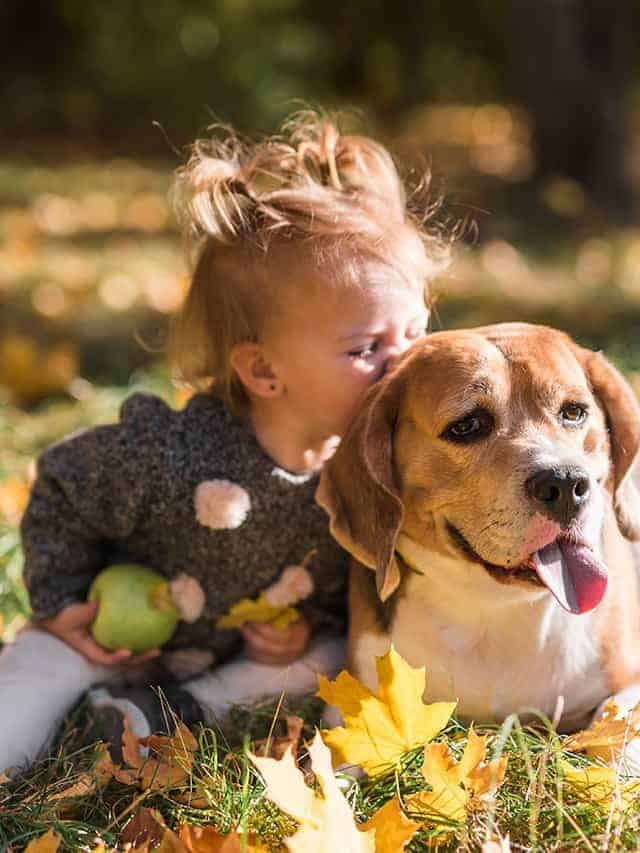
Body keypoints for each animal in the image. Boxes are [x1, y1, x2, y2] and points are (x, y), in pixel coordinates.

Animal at [320, 322, 640, 744]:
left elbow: (617, 734)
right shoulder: (350, 705)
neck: (493, 607)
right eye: (466, 426)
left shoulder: (629, 684)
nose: (566, 484)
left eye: (573, 412)